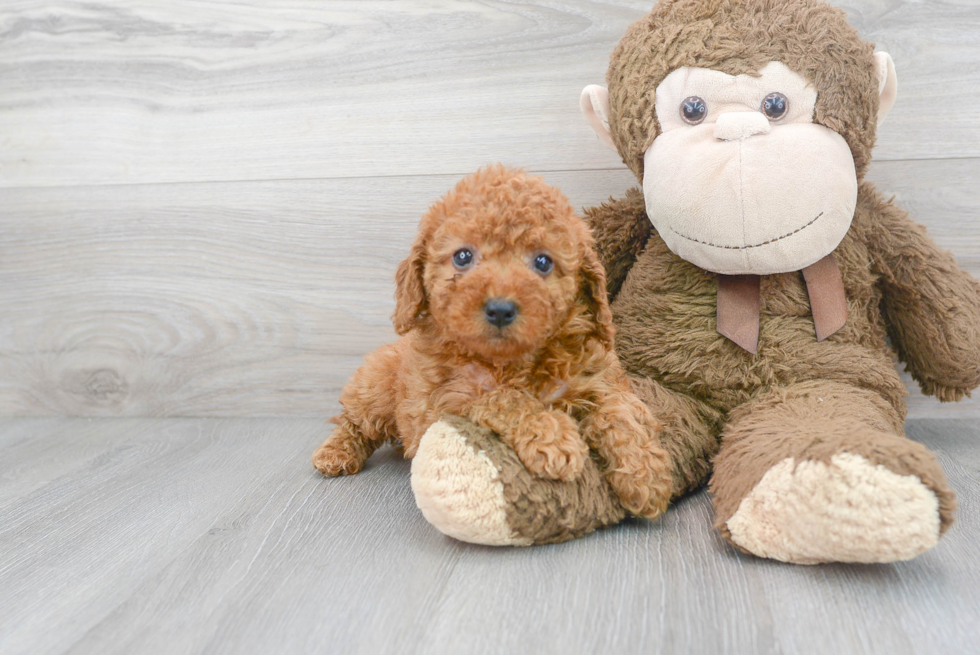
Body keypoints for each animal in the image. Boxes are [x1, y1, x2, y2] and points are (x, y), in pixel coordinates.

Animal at [314, 167, 672, 520]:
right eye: (462, 256)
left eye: (543, 262)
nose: (500, 309)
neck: (511, 361)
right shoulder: (445, 402)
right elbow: (505, 398)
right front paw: (554, 437)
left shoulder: (597, 377)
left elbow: (619, 411)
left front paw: (645, 475)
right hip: (374, 387)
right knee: (354, 422)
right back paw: (335, 453)